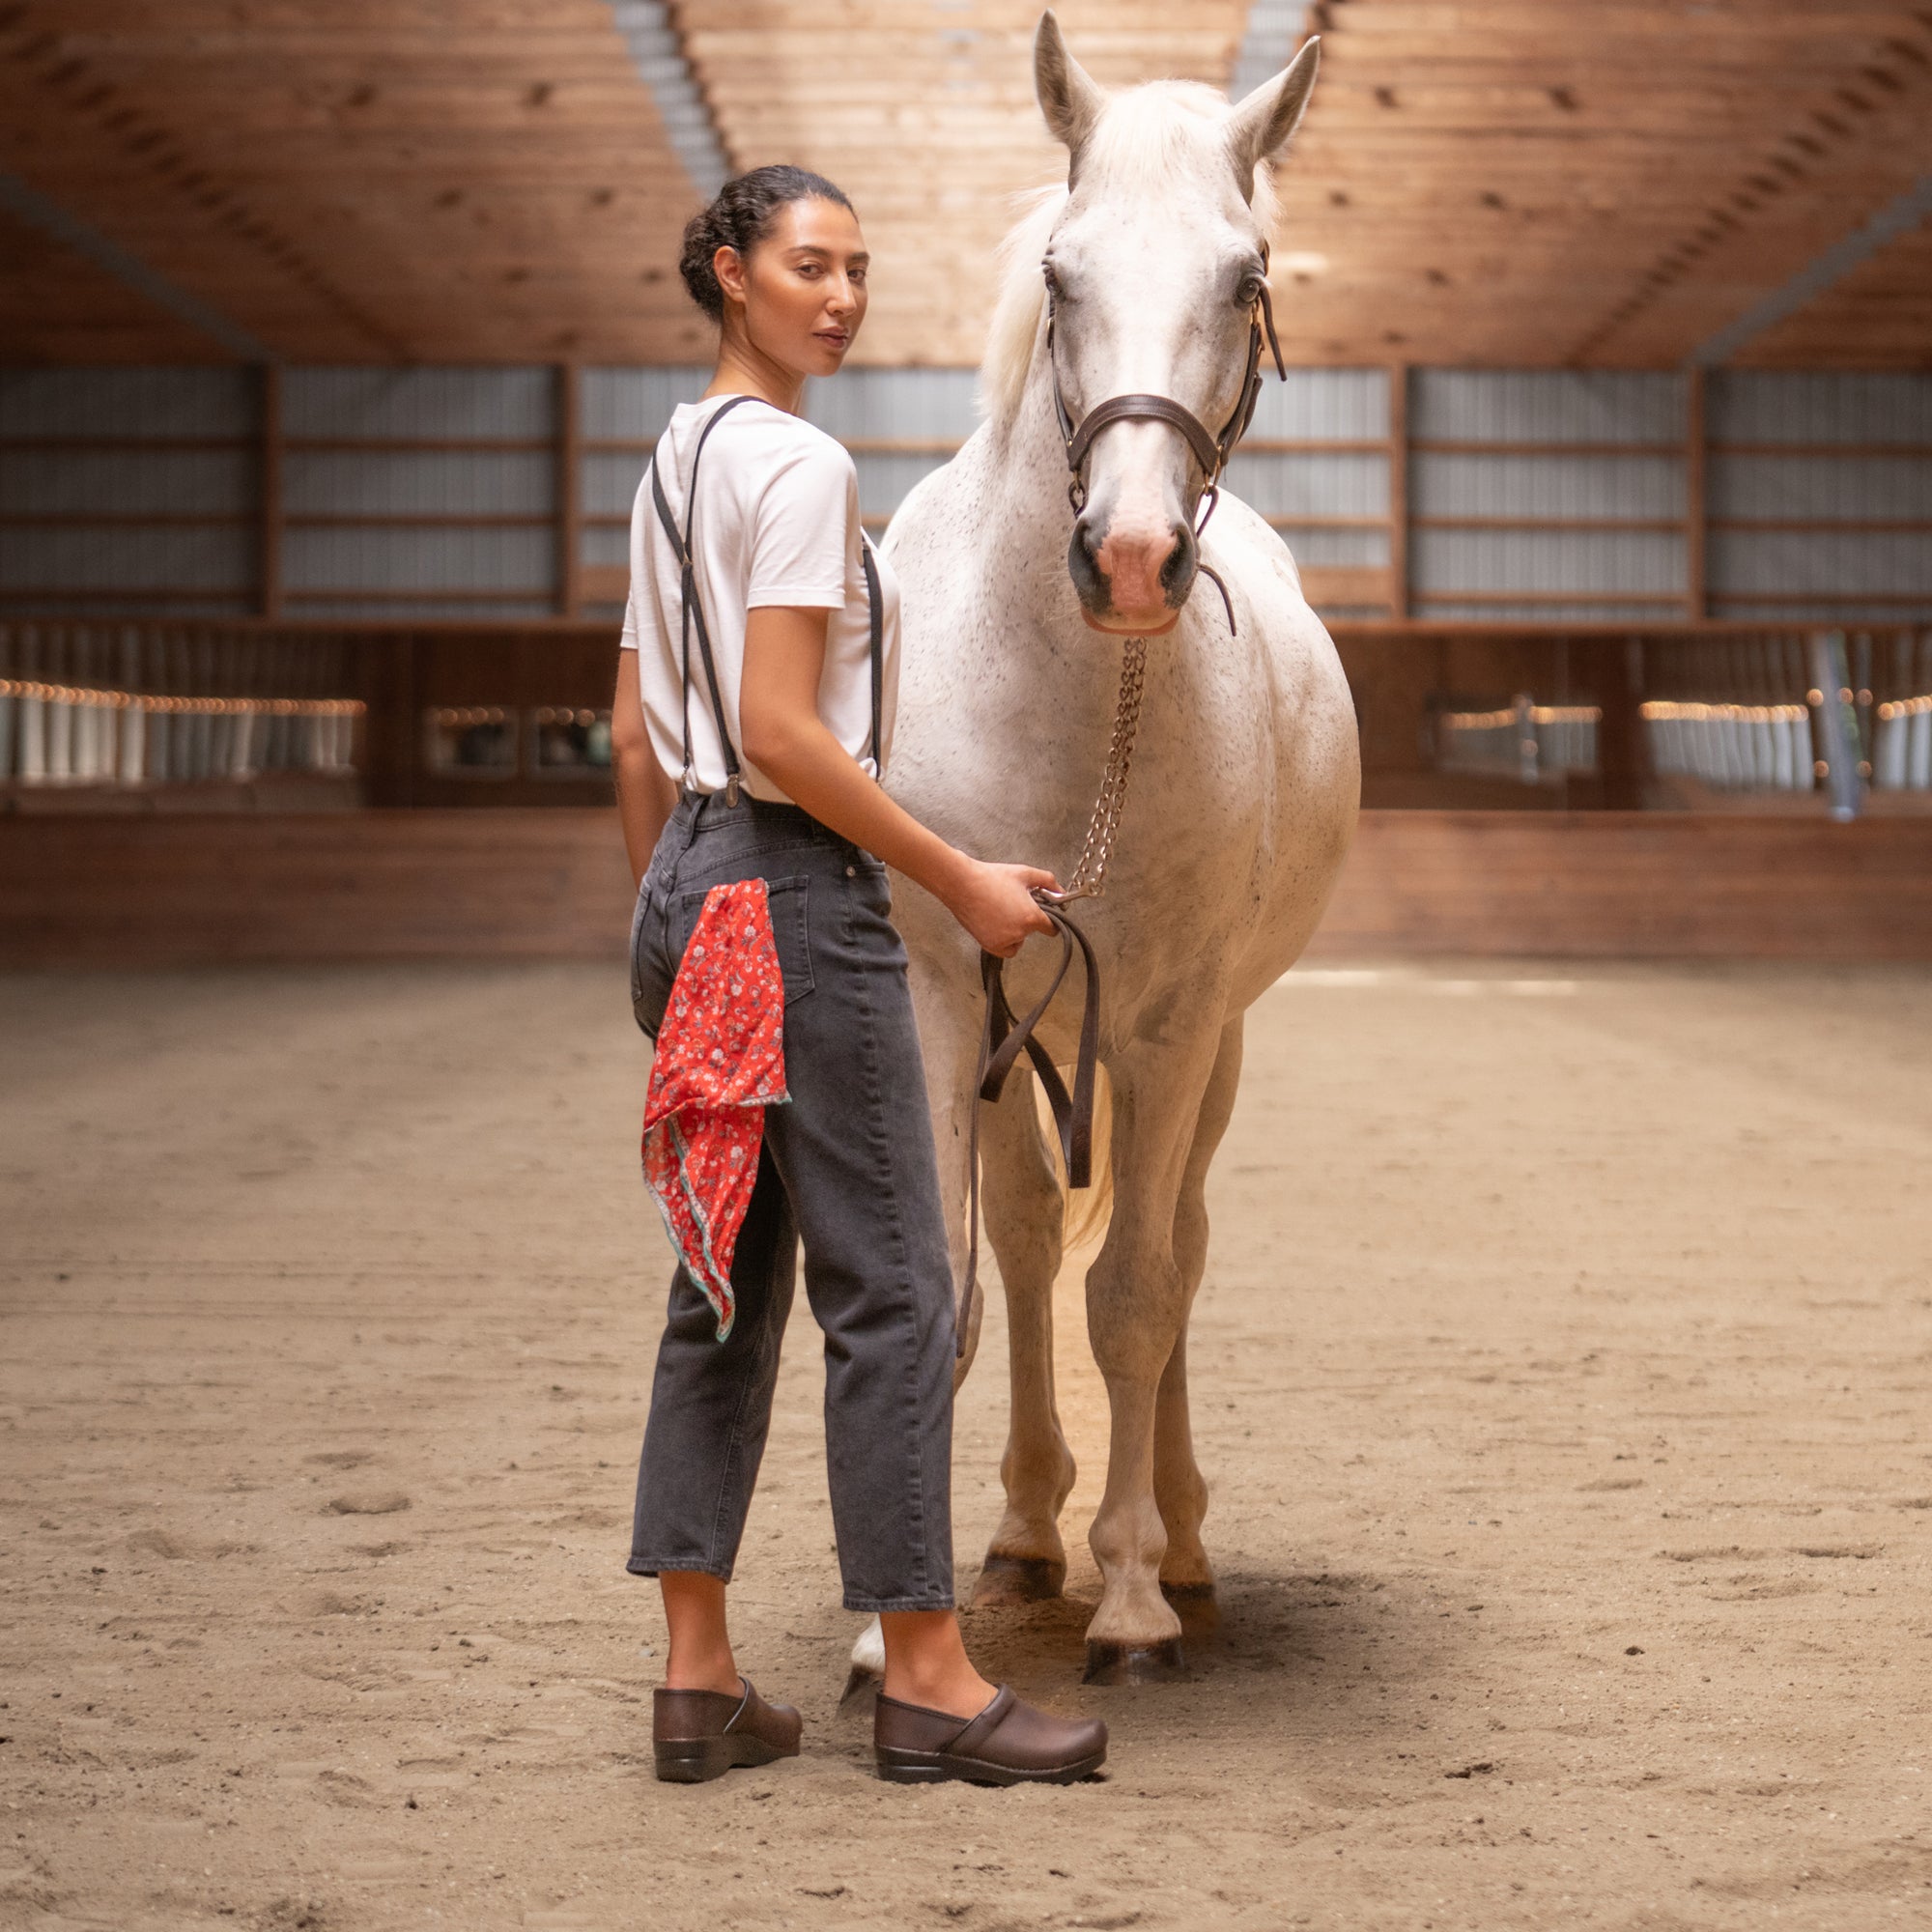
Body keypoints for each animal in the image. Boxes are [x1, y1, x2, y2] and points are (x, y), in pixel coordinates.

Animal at [877, 11, 1360, 1677]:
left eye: (1248, 275)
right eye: (1062, 271)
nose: (1137, 559)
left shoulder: (1164, 1023)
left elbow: (1140, 1296)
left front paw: (1139, 1597)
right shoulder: (944, 994)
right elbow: (962, 1285)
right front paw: (894, 1629)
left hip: (1204, 1048)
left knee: (1176, 1249)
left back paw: (1178, 1547)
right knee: (1032, 1244)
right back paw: (1028, 1533)